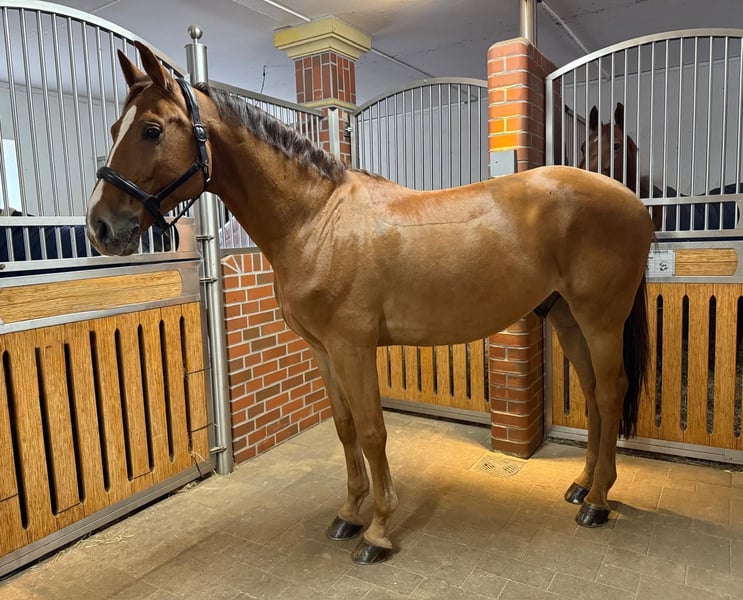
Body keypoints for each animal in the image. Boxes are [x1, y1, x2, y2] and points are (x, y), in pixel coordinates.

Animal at [85, 42, 654, 565]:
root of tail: (631, 201)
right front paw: (349, 515)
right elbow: (345, 428)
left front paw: (378, 531)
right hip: (566, 317)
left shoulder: (354, 347)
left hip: (601, 321)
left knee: (610, 394)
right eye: (112, 127)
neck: (316, 220)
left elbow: (374, 431)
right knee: (592, 395)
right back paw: (582, 486)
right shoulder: (323, 350)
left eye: (151, 130)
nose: (100, 227)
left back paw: (598, 503)